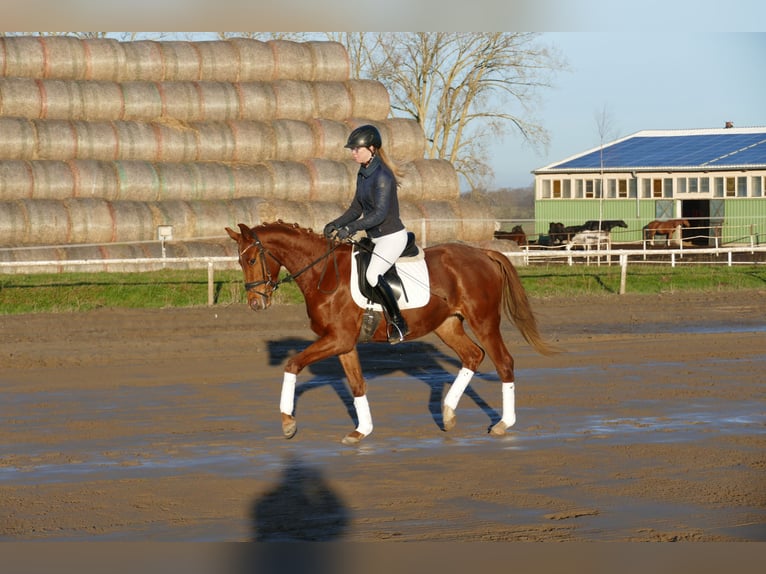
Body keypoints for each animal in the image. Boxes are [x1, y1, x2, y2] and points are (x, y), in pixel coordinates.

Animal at [226, 221, 557, 446]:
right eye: (240, 261)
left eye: (252, 259)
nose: (256, 303)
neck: (324, 273)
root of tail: (484, 253)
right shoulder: (344, 344)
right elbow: (356, 385)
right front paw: (361, 431)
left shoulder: (338, 339)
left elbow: (293, 364)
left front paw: (288, 423)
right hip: (447, 325)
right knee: (474, 356)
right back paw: (448, 414)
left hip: (484, 321)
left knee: (504, 363)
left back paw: (503, 423)